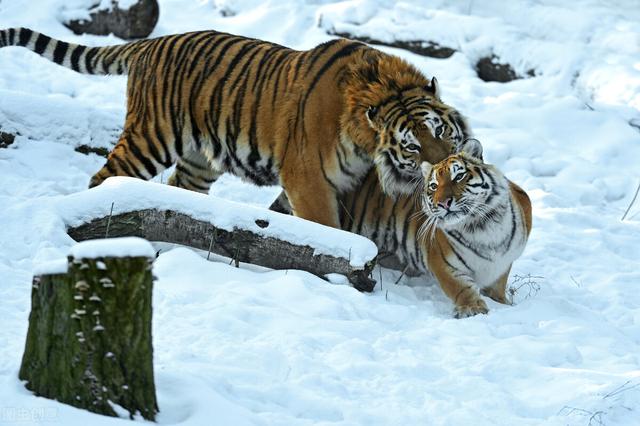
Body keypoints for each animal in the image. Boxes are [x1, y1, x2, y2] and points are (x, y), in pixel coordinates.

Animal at [0, 27, 470, 228]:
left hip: (198, 160)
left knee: (180, 189)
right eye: (411, 147)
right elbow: (326, 226)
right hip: (150, 138)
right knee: (104, 177)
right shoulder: (307, 178)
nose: (443, 168)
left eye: (440, 133)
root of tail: (151, 43)